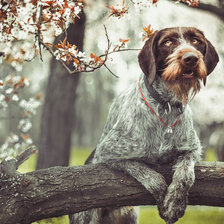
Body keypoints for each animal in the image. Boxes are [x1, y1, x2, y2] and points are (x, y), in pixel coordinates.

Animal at [70, 26, 219, 224]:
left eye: (196, 41)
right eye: (168, 42)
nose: (191, 58)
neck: (166, 105)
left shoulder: (193, 148)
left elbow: (186, 174)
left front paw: (175, 204)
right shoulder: (105, 154)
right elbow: (147, 173)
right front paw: (163, 197)